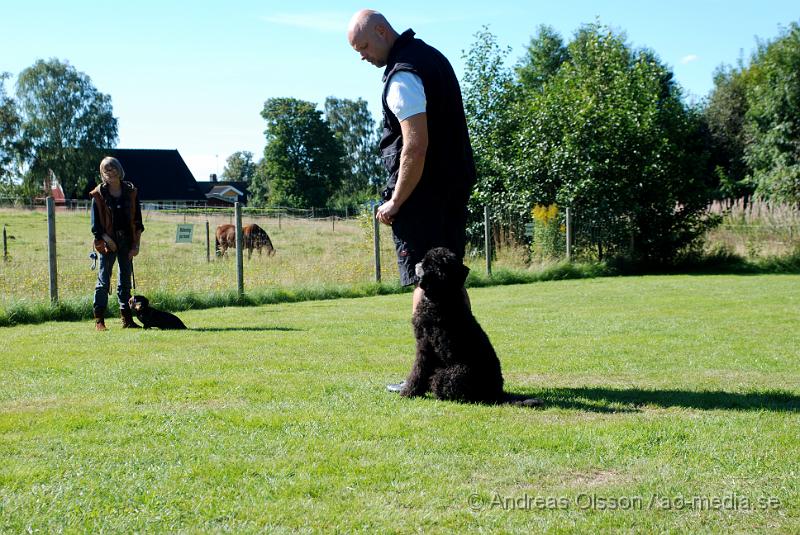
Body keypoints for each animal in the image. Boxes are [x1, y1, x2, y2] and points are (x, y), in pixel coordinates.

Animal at [400, 249, 544, 408]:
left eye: (426, 263)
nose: (416, 264)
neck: (443, 296)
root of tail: (497, 393)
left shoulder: (425, 346)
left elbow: (418, 371)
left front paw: (408, 392)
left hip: (449, 374)